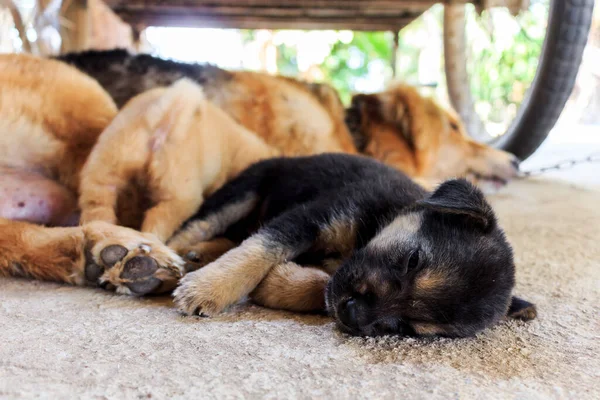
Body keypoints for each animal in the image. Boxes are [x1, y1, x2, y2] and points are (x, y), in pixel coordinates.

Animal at [166, 155, 536, 336]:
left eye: (411, 329)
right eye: (412, 260)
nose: (352, 314)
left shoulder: (336, 273)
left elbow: (321, 285)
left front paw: (276, 284)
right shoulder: (313, 216)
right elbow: (260, 249)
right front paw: (209, 288)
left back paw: (199, 255)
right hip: (244, 190)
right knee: (194, 227)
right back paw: (163, 261)